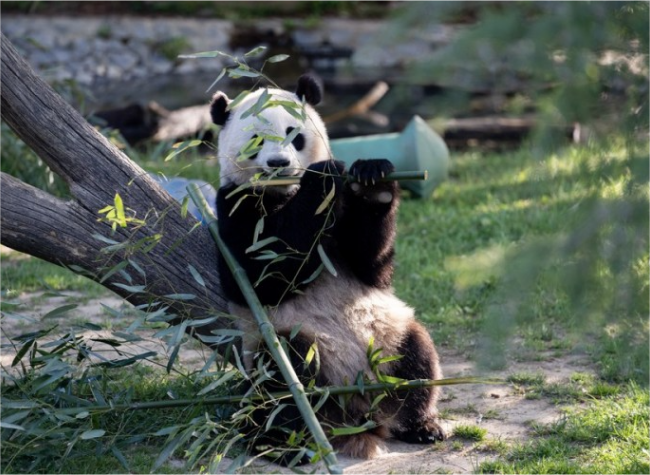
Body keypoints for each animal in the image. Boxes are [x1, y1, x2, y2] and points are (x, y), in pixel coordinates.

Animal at [210, 75, 446, 462]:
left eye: (294, 134)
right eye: (256, 140)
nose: (279, 163)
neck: (284, 193)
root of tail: (356, 408)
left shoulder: (345, 224)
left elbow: (373, 266)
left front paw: (374, 181)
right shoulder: (233, 206)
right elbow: (263, 275)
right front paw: (321, 178)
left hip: (388, 338)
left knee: (417, 360)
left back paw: (421, 425)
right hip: (287, 346)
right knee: (283, 382)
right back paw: (282, 444)